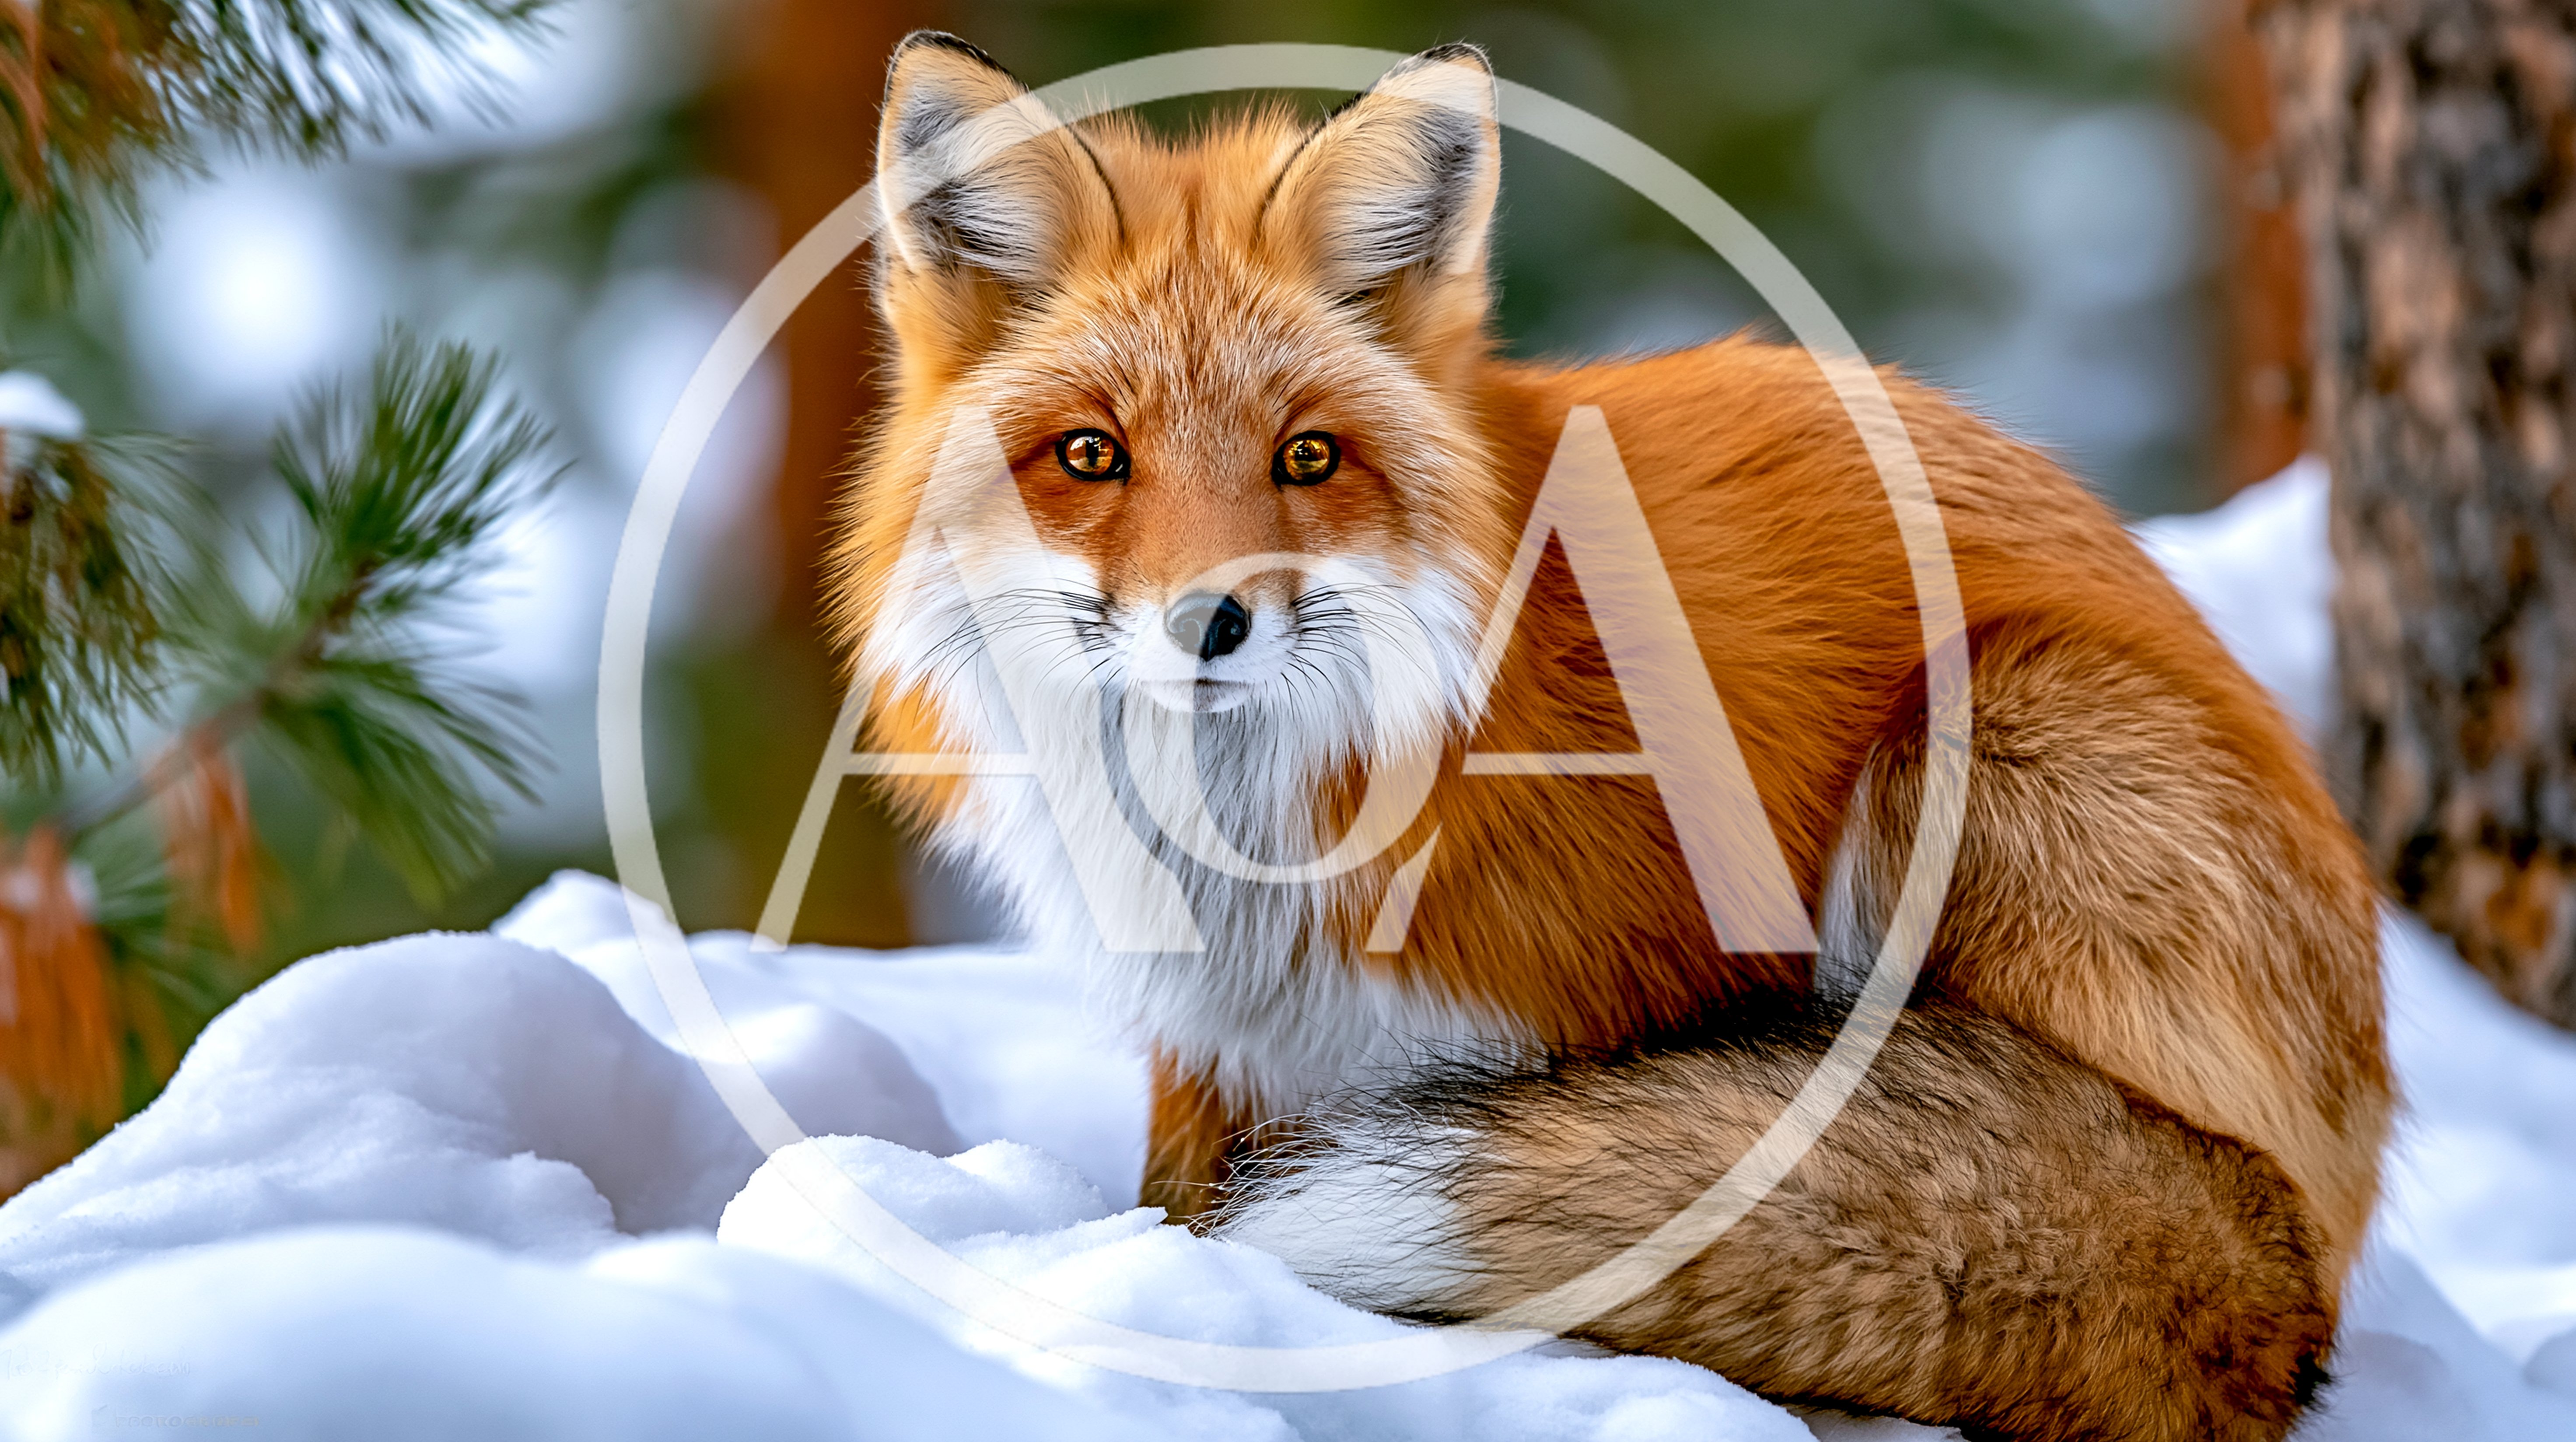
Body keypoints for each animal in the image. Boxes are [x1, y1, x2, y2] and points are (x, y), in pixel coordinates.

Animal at [826, 33, 2391, 1442]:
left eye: (1307, 457)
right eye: (1091, 456)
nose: (1210, 622)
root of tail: (2322, 1230)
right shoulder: (1219, 1054)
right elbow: (1175, 1201)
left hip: (1984, 730)